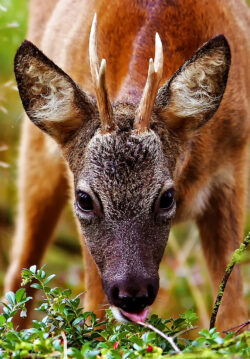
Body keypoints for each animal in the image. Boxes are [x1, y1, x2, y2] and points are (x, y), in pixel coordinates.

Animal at [4, 0, 250, 332]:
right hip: (35, 156)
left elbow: (232, 318)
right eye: (84, 199)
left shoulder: (232, 167)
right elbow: (94, 315)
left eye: (167, 197)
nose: (132, 294)